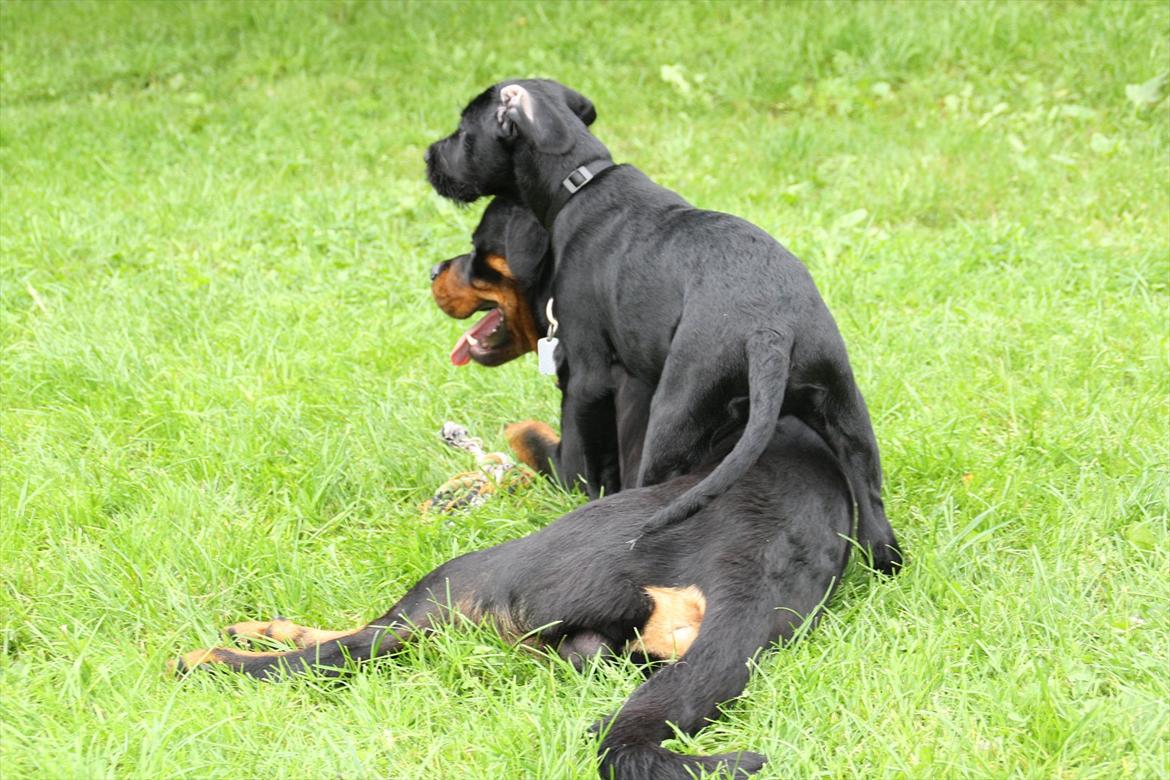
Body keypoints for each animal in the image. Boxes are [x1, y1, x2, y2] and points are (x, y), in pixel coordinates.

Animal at [425, 80, 898, 573]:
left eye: (462, 132)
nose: (429, 156)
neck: (579, 183)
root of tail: (769, 334)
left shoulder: (586, 376)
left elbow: (577, 453)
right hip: (847, 417)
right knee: (879, 526)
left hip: (675, 419)